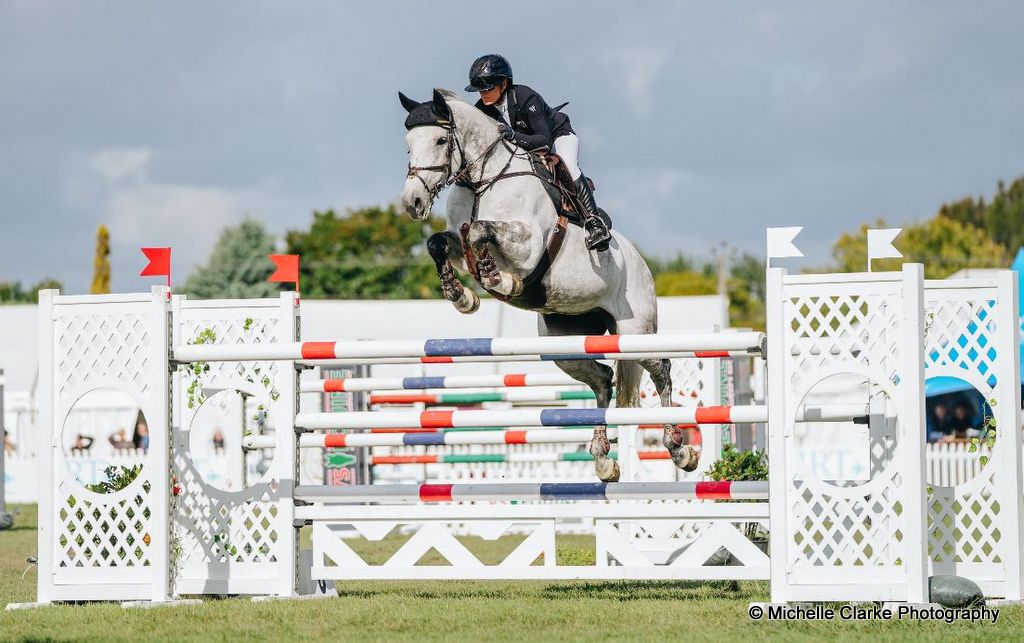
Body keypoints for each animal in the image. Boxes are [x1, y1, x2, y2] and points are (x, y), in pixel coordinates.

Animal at [397, 88, 698, 482]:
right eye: (408, 146)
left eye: (440, 140)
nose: (412, 202)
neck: (483, 179)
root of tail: (642, 264)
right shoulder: (459, 247)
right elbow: (443, 242)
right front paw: (460, 295)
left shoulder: (527, 246)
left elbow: (480, 231)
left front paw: (498, 279)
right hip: (564, 345)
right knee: (602, 377)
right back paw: (602, 458)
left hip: (634, 332)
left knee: (661, 368)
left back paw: (678, 447)